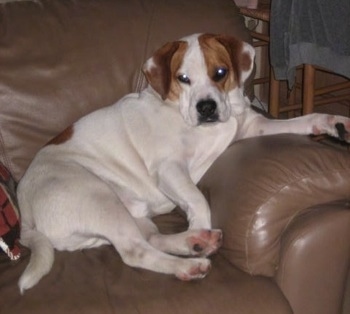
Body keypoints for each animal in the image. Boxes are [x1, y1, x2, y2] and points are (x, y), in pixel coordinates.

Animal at [17, 33, 350, 294]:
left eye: (220, 72)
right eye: (183, 78)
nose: (207, 107)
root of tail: (25, 212)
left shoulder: (252, 128)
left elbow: (303, 120)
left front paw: (334, 123)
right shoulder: (169, 169)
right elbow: (199, 200)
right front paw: (200, 225)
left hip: (128, 210)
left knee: (151, 237)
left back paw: (195, 243)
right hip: (98, 197)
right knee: (135, 251)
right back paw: (190, 263)